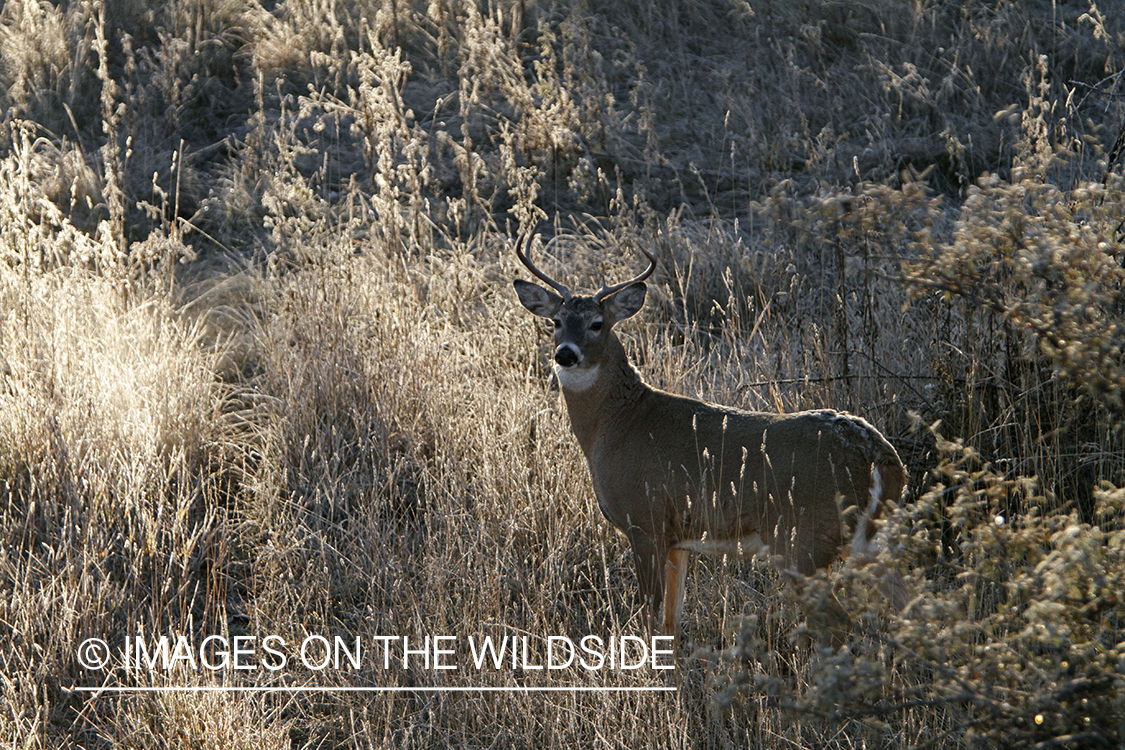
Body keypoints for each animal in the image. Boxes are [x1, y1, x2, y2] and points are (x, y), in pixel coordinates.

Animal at [515, 229, 909, 647]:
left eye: (597, 323)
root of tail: (881, 455)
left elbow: (651, 619)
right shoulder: (678, 539)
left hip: (804, 538)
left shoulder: (645, 520)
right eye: (556, 321)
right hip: (869, 541)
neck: (618, 424)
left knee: (837, 622)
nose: (565, 354)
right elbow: (671, 624)